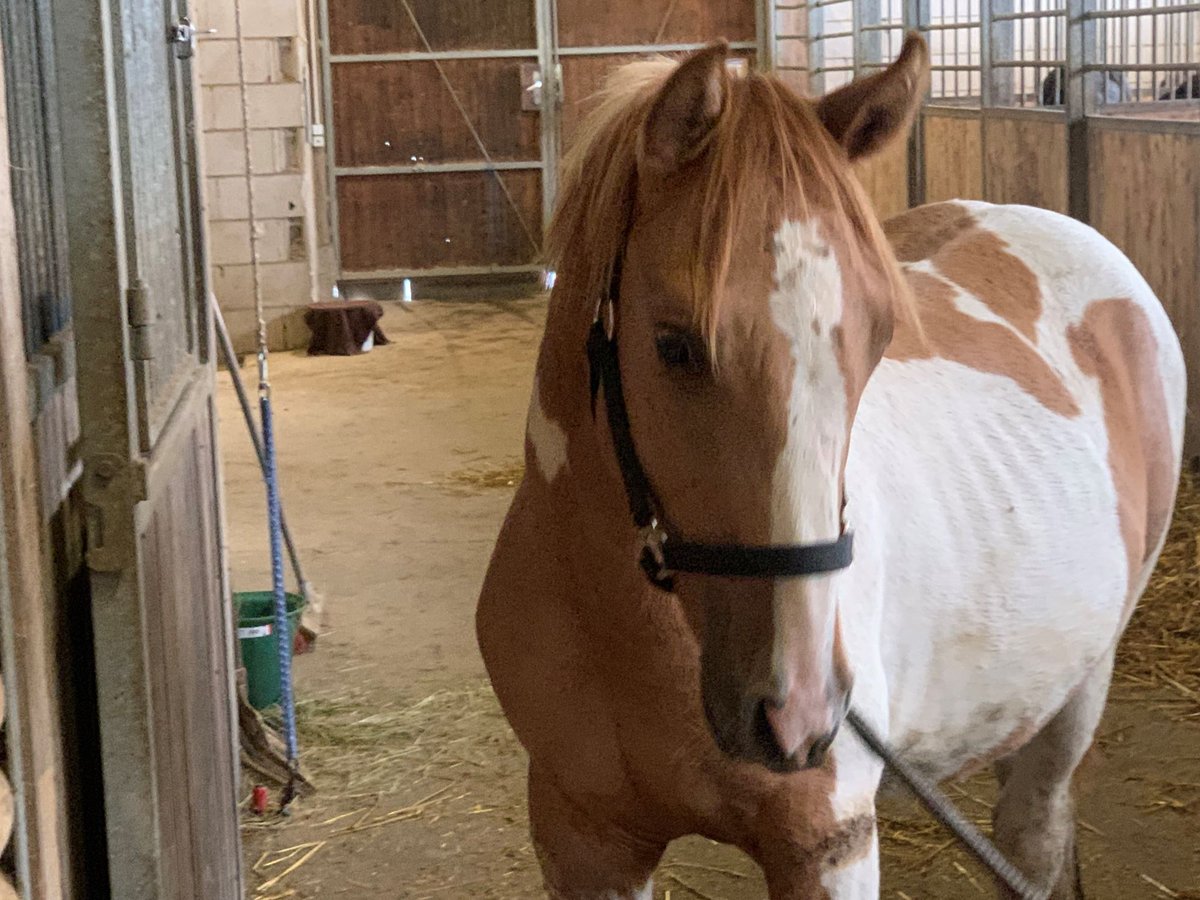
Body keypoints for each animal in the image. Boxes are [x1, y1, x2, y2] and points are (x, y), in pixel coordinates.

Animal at [472, 31, 1185, 897]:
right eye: (674, 345)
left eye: (880, 339)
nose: (798, 710)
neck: (631, 631)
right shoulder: (582, 837)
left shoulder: (827, 846)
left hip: (1075, 693)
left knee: (1035, 829)